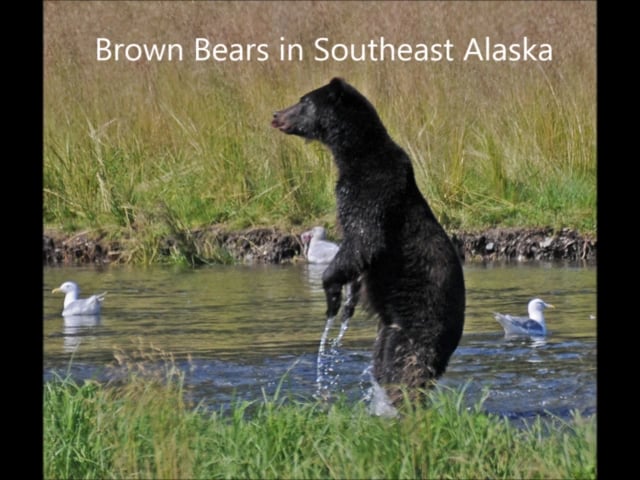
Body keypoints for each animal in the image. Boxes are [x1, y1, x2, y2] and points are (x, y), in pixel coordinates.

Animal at [272, 77, 465, 404]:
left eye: (303, 101)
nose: (276, 115)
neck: (354, 154)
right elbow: (358, 259)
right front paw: (347, 301)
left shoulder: (372, 192)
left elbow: (364, 241)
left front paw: (331, 293)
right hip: (391, 330)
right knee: (386, 363)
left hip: (421, 324)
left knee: (404, 366)